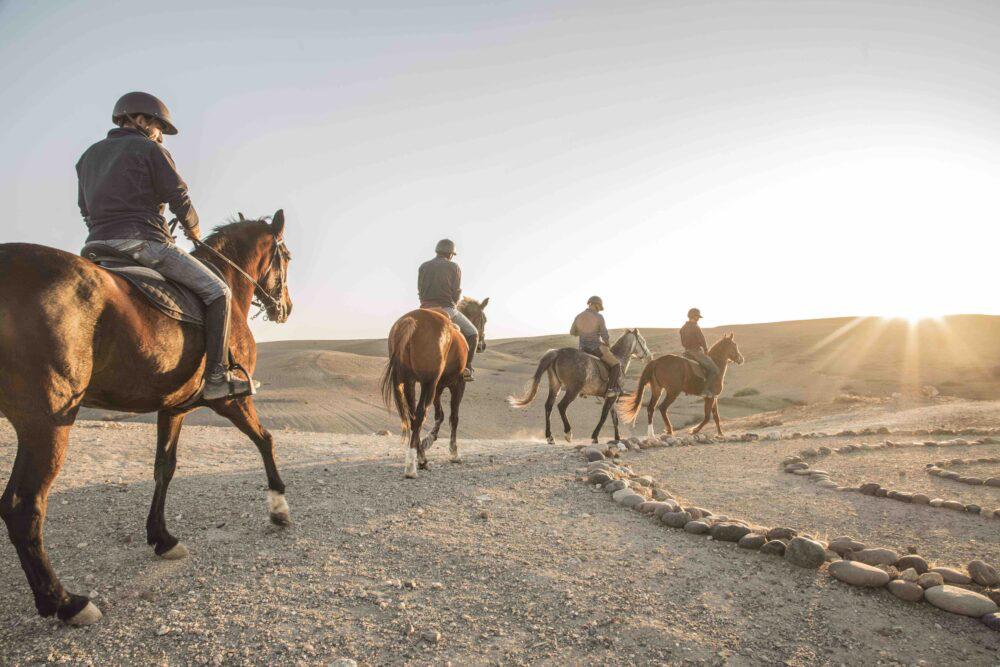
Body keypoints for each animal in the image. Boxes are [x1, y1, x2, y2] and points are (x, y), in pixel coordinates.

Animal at [0, 212, 293, 626]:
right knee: (22, 507)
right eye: (287, 256)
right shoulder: (230, 401)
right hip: (46, 422)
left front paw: (162, 538)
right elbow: (265, 439)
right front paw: (278, 507)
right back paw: (65, 601)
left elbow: (163, 468)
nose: (286, 308)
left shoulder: (173, 408)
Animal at [380, 297, 488, 478]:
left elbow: (439, 415)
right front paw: (454, 453)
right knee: (420, 415)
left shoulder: (438, 387)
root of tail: (411, 320)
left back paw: (420, 457)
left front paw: (427, 441)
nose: (482, 345)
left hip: (410, 382)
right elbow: (453, 418)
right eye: (484, 319)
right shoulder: (457, 385)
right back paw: (413, 466)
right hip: (428, 384)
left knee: (413, 416)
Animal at [507, 329, 652, 445]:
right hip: (573, 389)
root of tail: (557, 352)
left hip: (555, 386)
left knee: (548, 406)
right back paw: (568, 433)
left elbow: (614, 418)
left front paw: (617, 438)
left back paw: (550, 437)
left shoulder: (612, 397)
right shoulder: (611, 397)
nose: (650, 356)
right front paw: (595, 437)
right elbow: (604, 416)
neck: (619, 360)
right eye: (643, 341)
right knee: (561, 406)